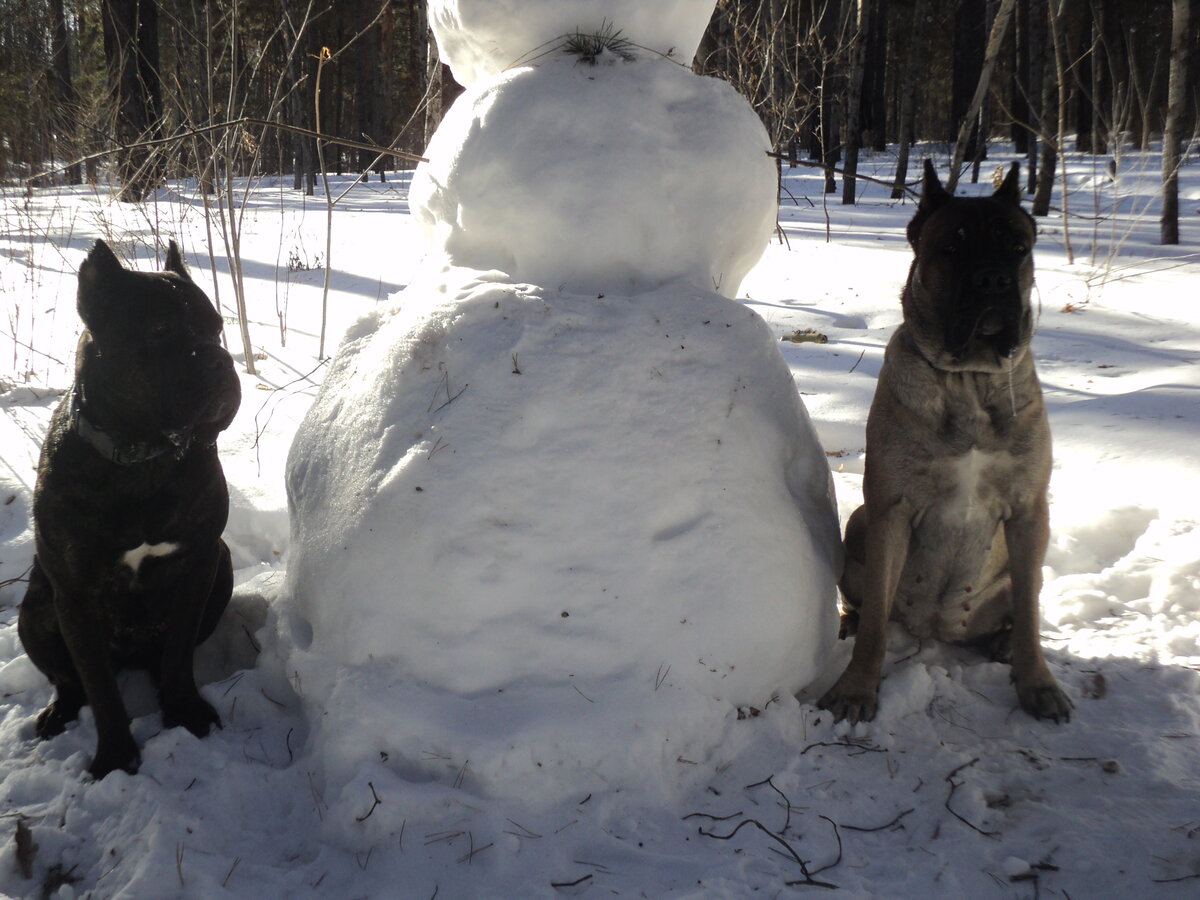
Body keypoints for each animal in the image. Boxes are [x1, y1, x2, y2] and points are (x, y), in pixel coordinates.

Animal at [18, 241, 241, 782]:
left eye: (216, 328)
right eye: (159, 329)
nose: (220, 360)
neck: (142, 458)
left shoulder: (200, 561)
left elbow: (179, 651)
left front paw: (185, 712)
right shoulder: (75, 595)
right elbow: (99, 687)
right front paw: (116, 758)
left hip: (223, 566)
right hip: (34, 607)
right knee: (69, 680)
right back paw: (57, 713)